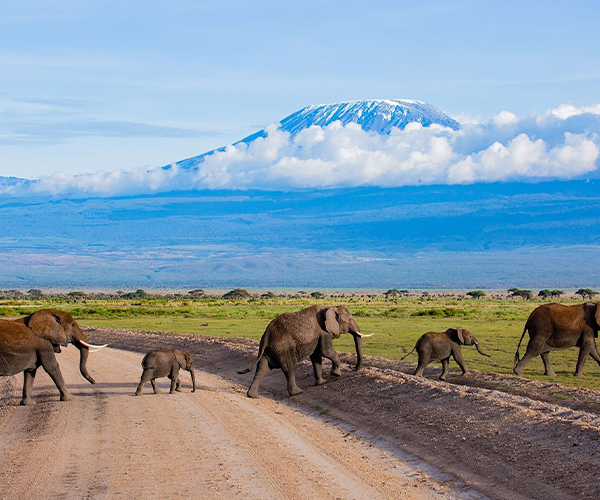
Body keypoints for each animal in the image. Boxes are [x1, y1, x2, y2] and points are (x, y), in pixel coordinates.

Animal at [238, 304, 370, 398]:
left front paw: (322, 382)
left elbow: (316, 357)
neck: (329, 307)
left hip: (269, 348)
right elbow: (326, 351)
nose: (352, 368)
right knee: (290, 368)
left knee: (262, 368)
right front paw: (336, 374)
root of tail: (267, 333)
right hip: (283, 348)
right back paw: (297, 392)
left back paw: (253, 396)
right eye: (350, 319)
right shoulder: (324, 332)